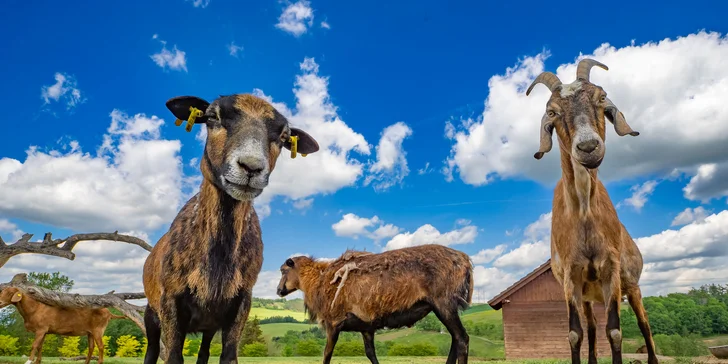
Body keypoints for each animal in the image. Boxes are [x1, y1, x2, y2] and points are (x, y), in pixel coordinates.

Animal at [142, 93, 318, 364]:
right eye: (212, 117)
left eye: (284, 137)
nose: (251, 167)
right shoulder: (170, 301)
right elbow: (173, 356)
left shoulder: (241, 303)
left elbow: (228, 356)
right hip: (152, 312)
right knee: (151, 351)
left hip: (209, 323)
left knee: (203, 353)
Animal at [276, 243, 474, 364]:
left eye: (283, 270)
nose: (278, 291)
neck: (317, 282)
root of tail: (465, 260)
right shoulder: (366, 327)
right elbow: (370, 353)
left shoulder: (333, 322)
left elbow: (326, 354)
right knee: (455, 338)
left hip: (444, 302)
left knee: (462, 338)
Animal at [528, 59, 660, 364]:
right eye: (552, 112)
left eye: (602, 97)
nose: (588, 147)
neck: (584, 215)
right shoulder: (571, 277)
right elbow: (576, 333)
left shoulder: (611, 270)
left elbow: (615, 331)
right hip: (589, 296)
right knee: (590, 327)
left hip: (632, 286)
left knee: (644, 325)